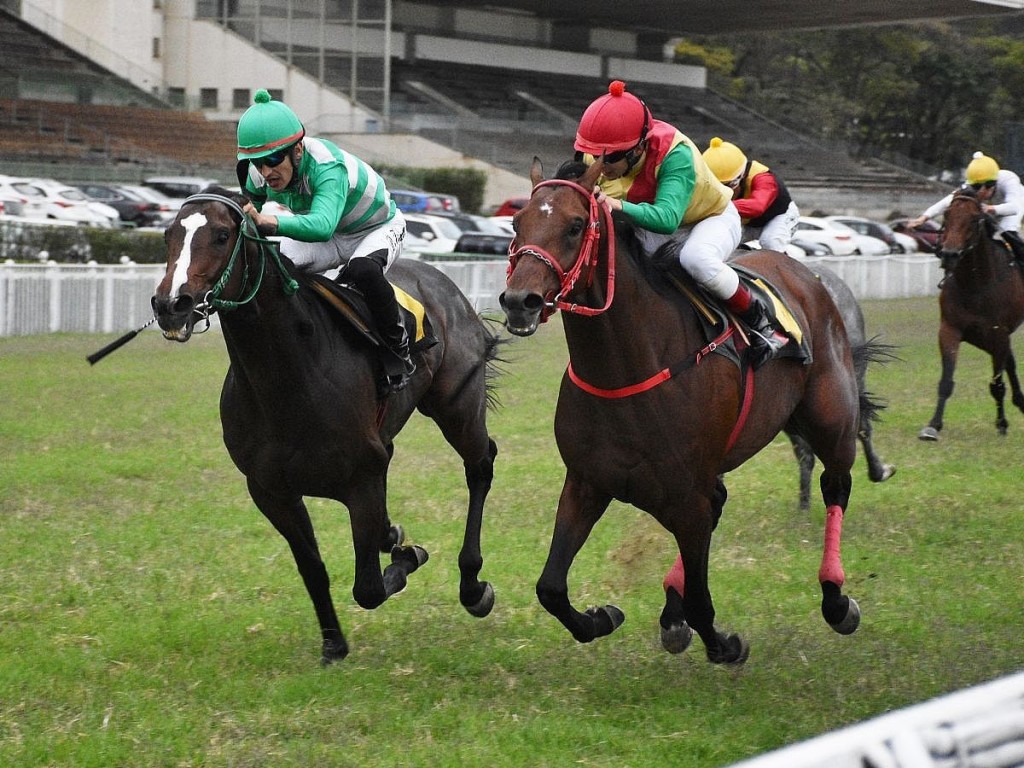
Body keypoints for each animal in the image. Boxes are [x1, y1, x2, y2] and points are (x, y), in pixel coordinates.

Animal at [150, 189, 499, 663]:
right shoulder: (271, 490)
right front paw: (334, 641)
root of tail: (444, 283)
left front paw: (407, 559)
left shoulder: (363, 477)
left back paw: (472, 586)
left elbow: (369, 587)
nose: (171, 305)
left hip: (456, 405)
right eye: (168, 235)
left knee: (480, 466)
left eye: (222, 235)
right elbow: (313, 569)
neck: (289, 378)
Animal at [497, 159, 880, 663]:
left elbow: (703, 601)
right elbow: (550, 588)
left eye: (575, 225)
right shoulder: (587, 483)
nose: (519, 301)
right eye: (517, 223)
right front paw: (603, 617)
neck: (628, 369)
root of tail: (802, 271)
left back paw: (836, 599)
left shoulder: (687, 497)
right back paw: (671, 613)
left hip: (831, 418)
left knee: (836, 486)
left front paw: (725, 644)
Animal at [921, 189, 1024, 442]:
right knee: (1010, 362)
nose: (949, 254)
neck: (976, 284)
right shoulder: (950, 329)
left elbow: (997, 385)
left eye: (974, 219)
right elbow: (946, 381)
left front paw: (1002, 423)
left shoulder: (998, 334)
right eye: (947, 214)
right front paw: (933, 425)